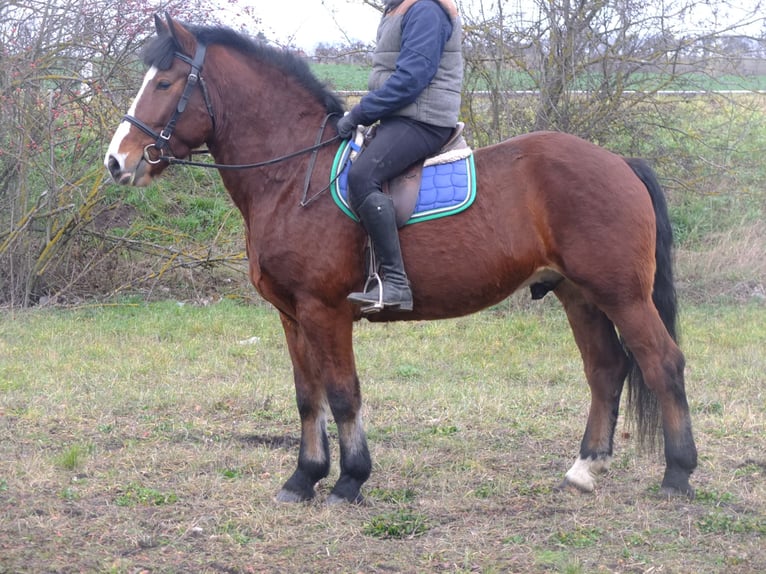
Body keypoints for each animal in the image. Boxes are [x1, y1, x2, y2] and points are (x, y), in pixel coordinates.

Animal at [105, 14, 700, 504]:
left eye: (164, 83)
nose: (116, 161)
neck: (292, 175)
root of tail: (618, 162)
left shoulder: (325, 310)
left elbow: (343, 395)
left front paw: (349, 480)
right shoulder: (291, 315)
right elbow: (307, 397)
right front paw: (303, 478)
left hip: (622, 294)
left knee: (662, 363)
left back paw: (677, 474)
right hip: (578, 294)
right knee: (606, 368)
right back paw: (584, 469)